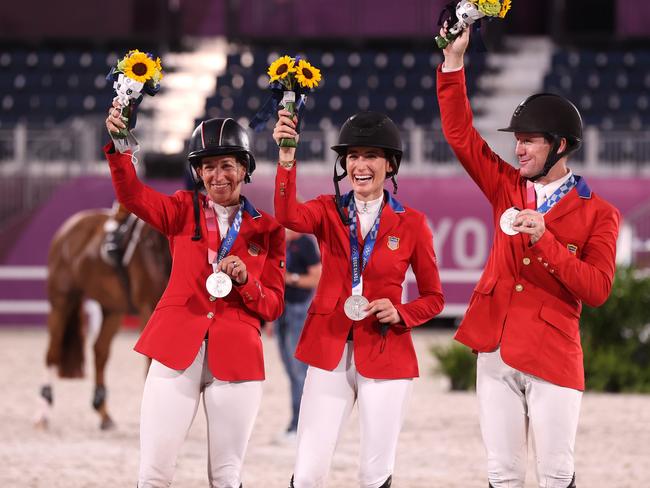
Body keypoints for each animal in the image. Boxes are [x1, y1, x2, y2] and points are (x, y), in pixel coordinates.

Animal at [36, 208, 170, 428]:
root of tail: (70, 226)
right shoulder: (148, 309)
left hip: (112, 309)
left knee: (100, 351)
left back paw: (103, 413)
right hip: (61, 302)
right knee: (52, 354)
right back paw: (43, 414)